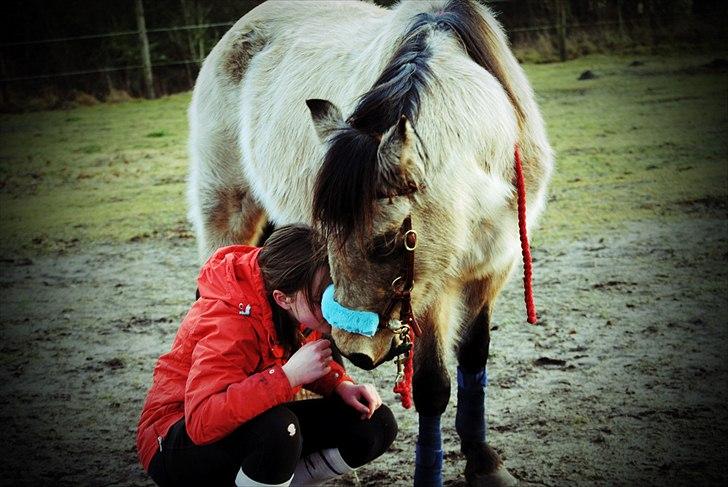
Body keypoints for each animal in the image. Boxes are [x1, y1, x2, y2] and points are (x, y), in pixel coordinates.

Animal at [186, 0, 552, 487]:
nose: (355, 352)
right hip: (226, 208)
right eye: (327, 236)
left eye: (385, 242)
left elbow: (474, 358)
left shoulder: (492, 267)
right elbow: (432, 387)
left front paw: (484, 463)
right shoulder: (430, 288)